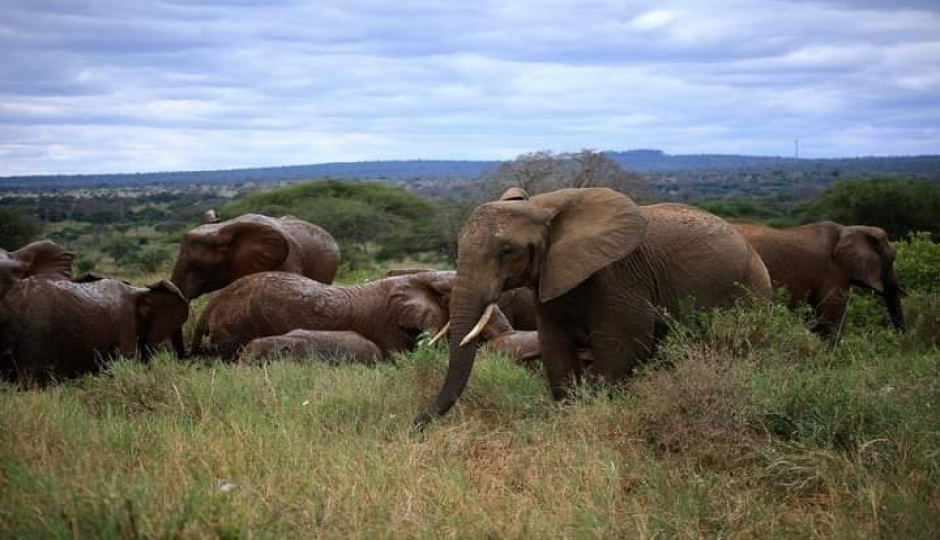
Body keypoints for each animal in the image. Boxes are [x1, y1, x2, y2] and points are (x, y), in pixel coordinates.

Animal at [416, 188, 772, 428]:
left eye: (506, 250)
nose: (417, 422)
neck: (542, 207)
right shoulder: (552, 278)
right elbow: (555, 347)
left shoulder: (617, 276)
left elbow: (625, 345)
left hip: (748, 289)